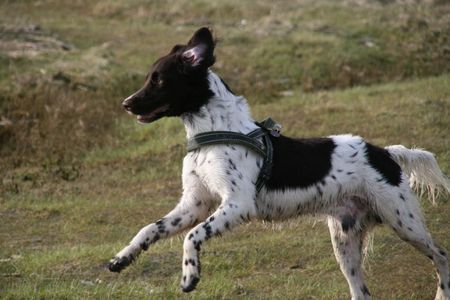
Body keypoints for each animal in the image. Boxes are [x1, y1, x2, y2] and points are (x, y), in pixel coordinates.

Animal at [110, 27, 450, 298]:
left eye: (158, 80)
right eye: (150, 78)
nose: (125, 103)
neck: (213, 134)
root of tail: (386, 152)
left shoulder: (237, 204)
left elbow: (192, 237)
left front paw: (190, 275)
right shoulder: (195, 203)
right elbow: (150, 228)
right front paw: (123, 257)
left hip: (403, 221)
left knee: (441, 255)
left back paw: (441, 293)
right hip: (345, 243)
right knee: (362, 292)